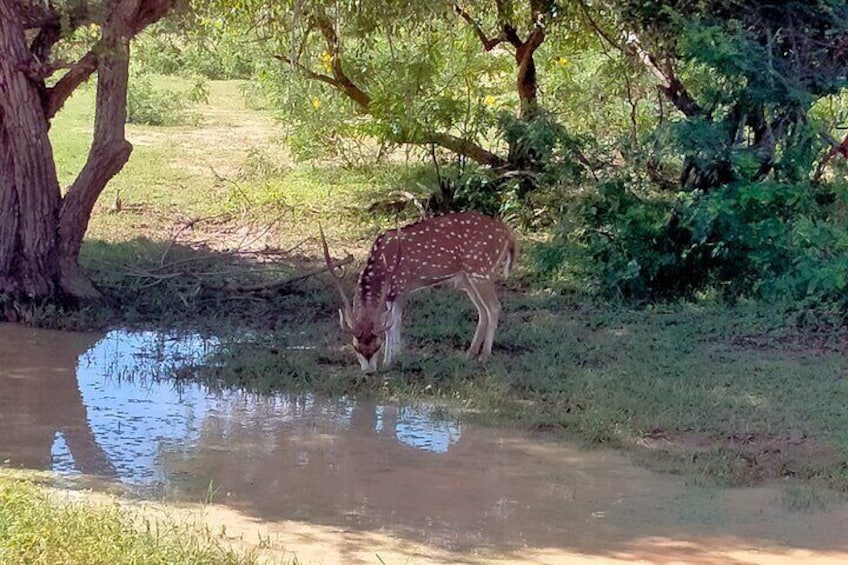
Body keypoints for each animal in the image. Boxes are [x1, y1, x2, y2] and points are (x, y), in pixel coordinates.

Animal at [320, 212, 512, 374]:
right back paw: (469, 354)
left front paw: (392, 360)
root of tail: (508, 233)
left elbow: (394, 322)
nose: (369, 372)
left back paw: (484, 357)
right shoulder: (390, 294)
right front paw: (391, 359)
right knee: (482, 311)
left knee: (494, 308)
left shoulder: (402, 286)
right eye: (355, 347)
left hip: (481, 270)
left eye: (377, 346)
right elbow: (389, 324)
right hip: (467, 279)